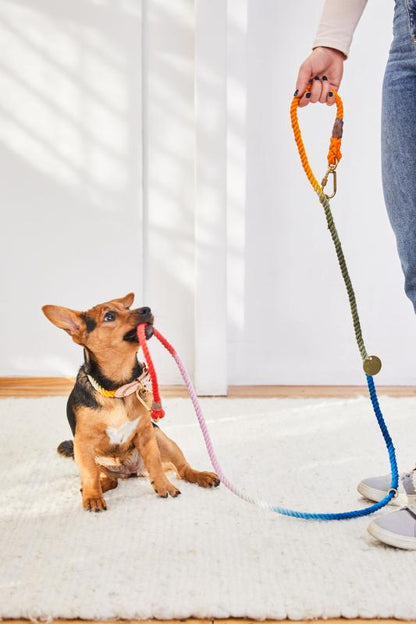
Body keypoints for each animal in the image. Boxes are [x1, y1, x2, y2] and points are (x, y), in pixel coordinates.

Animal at [41, 292, 221, 512]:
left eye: (126, 308)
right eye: (109, 316)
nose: (147, 309)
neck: (118, 390)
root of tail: (130, 471)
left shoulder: (146, 433)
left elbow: (154, 462)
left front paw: (164, 486)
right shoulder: (83, 443)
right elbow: (90, 474)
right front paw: (93, 497)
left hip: (161, 437)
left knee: (181, 469)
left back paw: (201, 476)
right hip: (86, 455)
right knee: (108, 479)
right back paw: (98, 487)